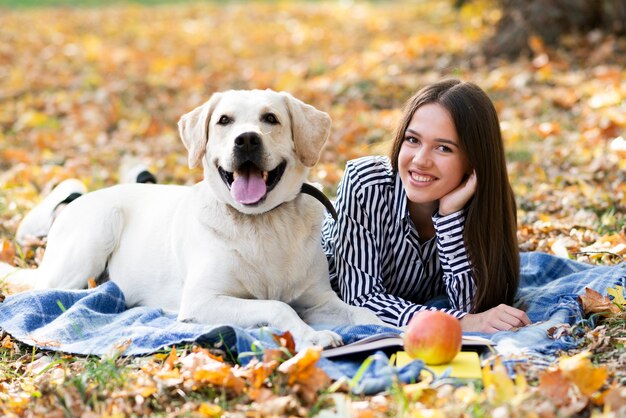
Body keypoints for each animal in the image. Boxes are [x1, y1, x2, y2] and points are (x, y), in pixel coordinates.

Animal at [2, 90, 382, 350]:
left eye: (271, 119)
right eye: (224, 121)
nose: (247, 139)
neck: (262, 222)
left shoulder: (319, 300)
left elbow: (361, 314)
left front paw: (383, 327)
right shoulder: (203, 301)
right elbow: (277, 307)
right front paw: (311, 337)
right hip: (92, 238)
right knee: (47, 290)